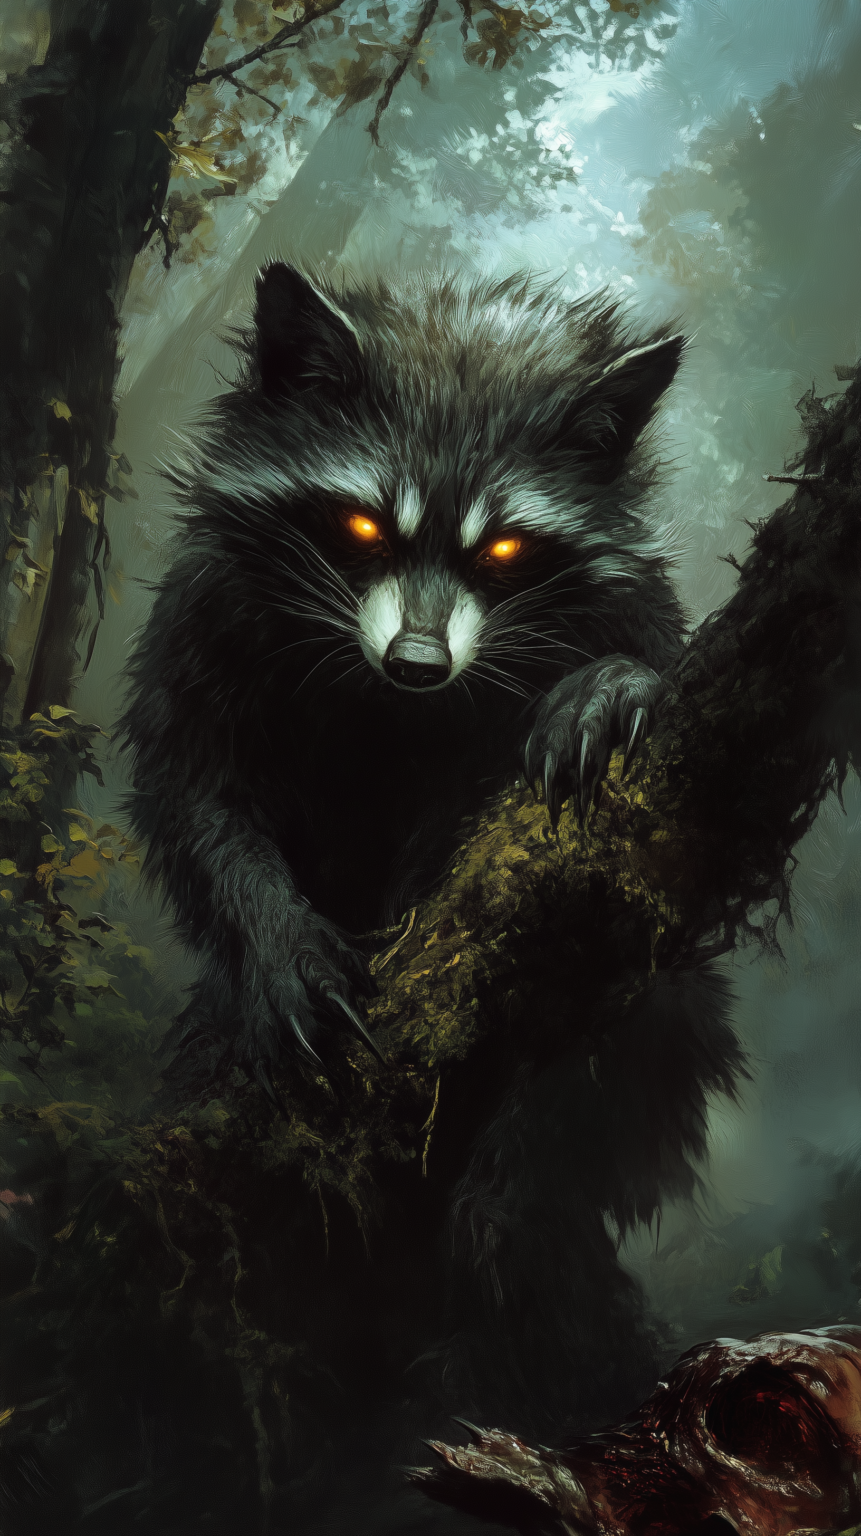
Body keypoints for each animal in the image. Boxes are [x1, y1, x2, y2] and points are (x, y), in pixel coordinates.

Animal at [121, 261, 689, 1080]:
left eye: (505, 549)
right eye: (365, 527)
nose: (418, 664)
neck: (389, 705)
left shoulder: (627, 604)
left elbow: (660, 663)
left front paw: (612, 685)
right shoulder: (206, 626)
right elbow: (197, 800)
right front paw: (274, 935)